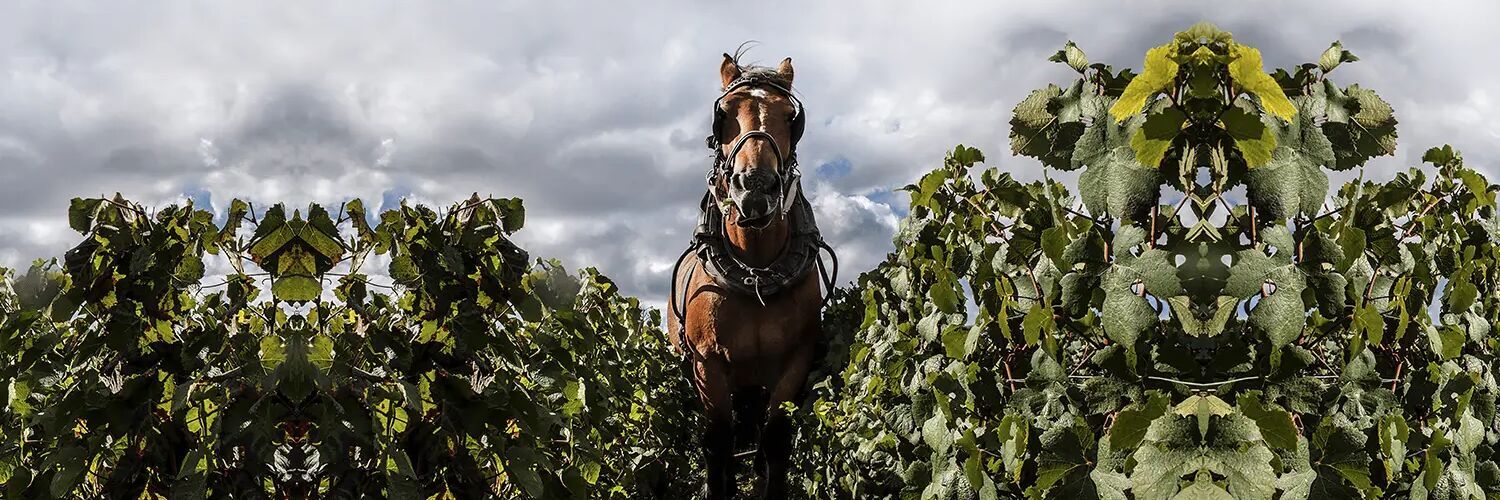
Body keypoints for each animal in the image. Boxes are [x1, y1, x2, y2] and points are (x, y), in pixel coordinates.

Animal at [669, 50, 834, 495]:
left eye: (791, 117)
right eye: (723, 114)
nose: (755, 189)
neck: (756, 272)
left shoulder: (795, 361)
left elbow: (775, 441)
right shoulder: (707, 365)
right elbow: (718, 443)